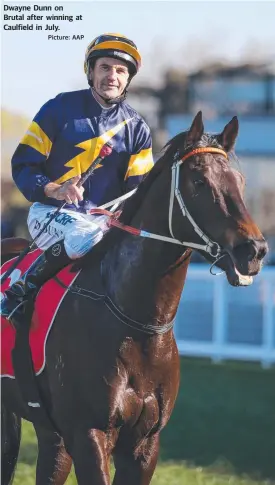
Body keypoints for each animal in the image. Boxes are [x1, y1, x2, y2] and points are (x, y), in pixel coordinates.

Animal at [1, 111, 268, 482]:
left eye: (240, 181)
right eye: (199, 181)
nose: (253, 250)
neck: (139, 323)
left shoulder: (145, 443)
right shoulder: (89, 433)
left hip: (47, 428)